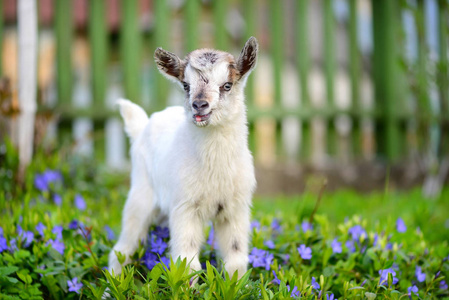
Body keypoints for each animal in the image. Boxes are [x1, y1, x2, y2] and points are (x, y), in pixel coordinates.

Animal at [108, 37, 258, 278]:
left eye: (227, 85)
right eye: (186, 85)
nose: (199, 105)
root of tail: (141, 127)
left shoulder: (235, 209)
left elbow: (235, 261)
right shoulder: (185, 208)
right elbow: (188, 263)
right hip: (140, 196)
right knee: (122, 249)